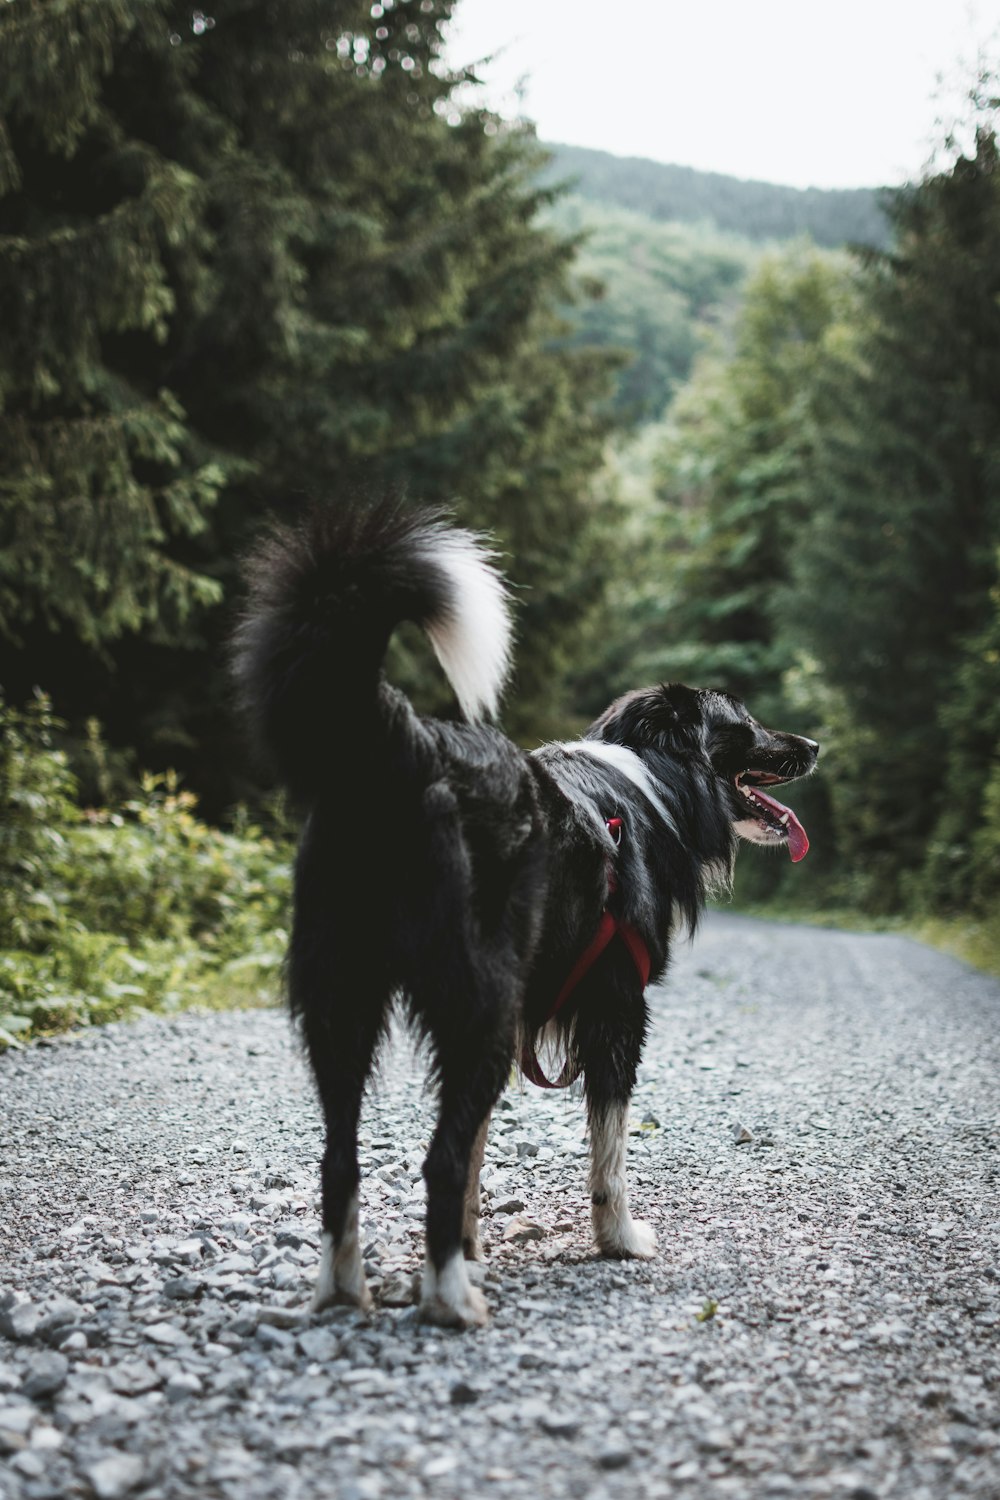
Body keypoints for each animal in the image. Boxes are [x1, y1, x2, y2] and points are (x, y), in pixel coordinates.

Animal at [235, 501, 821, 1326]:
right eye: (747, 723)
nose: (813, 743)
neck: (656, 776)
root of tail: (405, 747)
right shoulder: (617, 1005)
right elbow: (606, 1148)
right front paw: (618, 1239)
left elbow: (482, 1151)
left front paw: (474, 1245)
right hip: (475, 999)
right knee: (436, 1158)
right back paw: (451, 1301)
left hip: (343, 1000)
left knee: (340, 1157)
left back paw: (346, 1289)